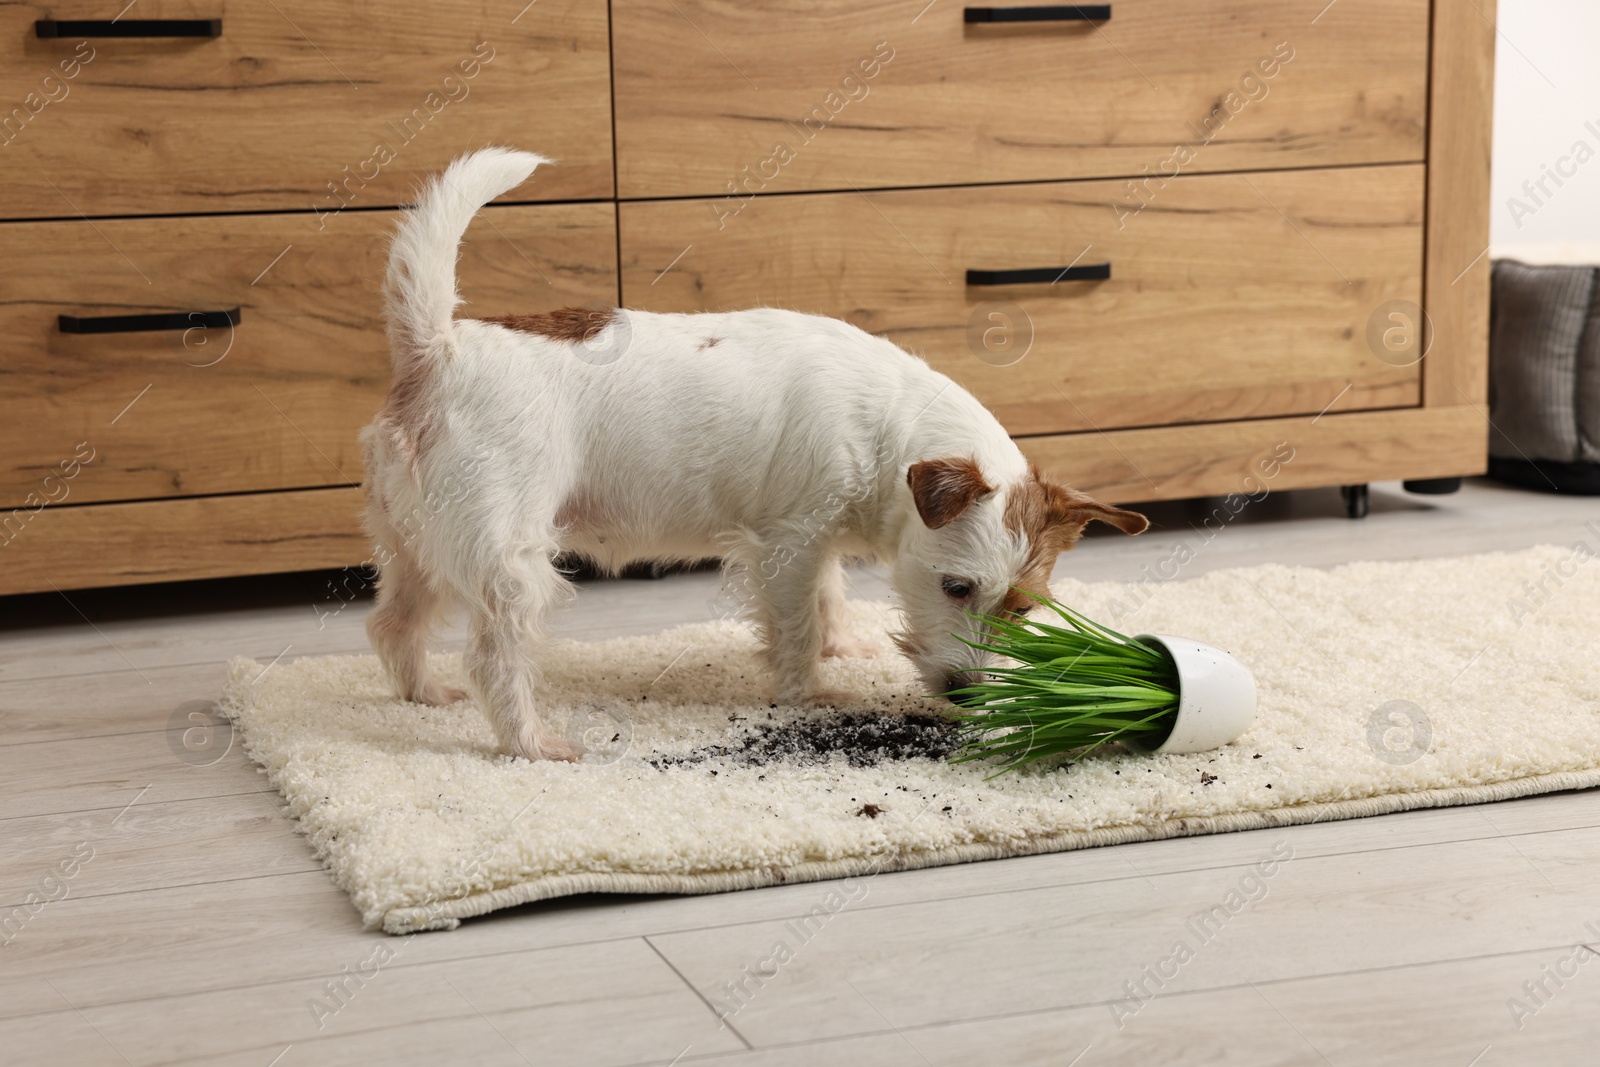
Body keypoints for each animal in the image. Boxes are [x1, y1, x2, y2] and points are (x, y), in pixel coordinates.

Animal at [360, 146, 1152, 764]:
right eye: (956, 588)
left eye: (1022, 608)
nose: (967, 695)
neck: (887, 425)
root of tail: (437, 348)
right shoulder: (789, 545)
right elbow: (797, 625)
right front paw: (812, 690)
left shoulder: (816, 543)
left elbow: (828, 601)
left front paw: (841, 649)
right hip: (509, 562)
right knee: (493, 657)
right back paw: (532, 741)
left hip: (417, 544)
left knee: (393, 623)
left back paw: (423, 694)